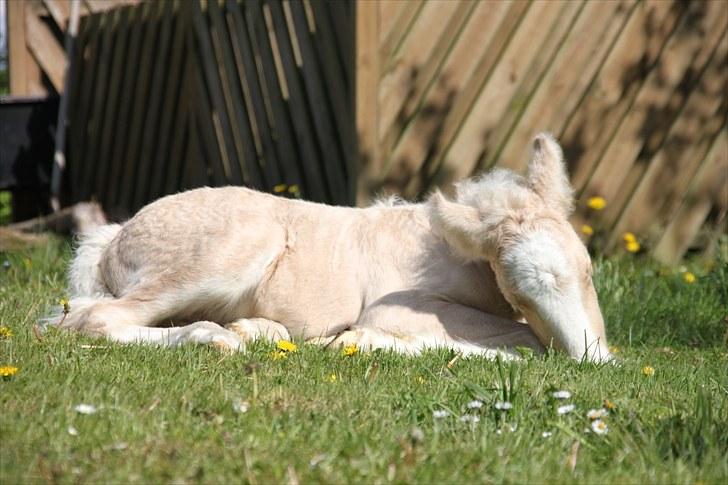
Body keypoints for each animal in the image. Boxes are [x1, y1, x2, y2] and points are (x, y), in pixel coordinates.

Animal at [48, 132, 612, 360]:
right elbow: (524, 345)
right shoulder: (399, 308)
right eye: (518, 294)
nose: (596, 363)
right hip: (231, 250)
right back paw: (214, 339)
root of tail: (114, 236)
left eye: (588, 271)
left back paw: (253, 329)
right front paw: (355, 341)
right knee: (90, 320)